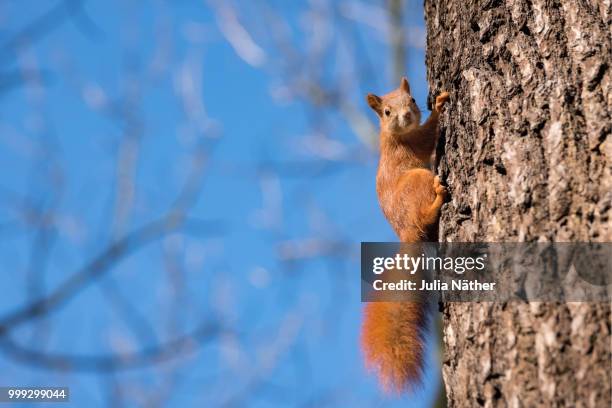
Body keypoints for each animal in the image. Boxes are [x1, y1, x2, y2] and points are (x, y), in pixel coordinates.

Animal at [360, 78, 448, 394]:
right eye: (387, 112)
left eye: (410, 99)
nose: (406, 115)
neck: (395, 134)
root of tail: (407, 232)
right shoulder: (411, 143)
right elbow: (430, 133)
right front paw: (440, 105)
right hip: (418, 181)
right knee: (426, 213)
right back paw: (438, 199)